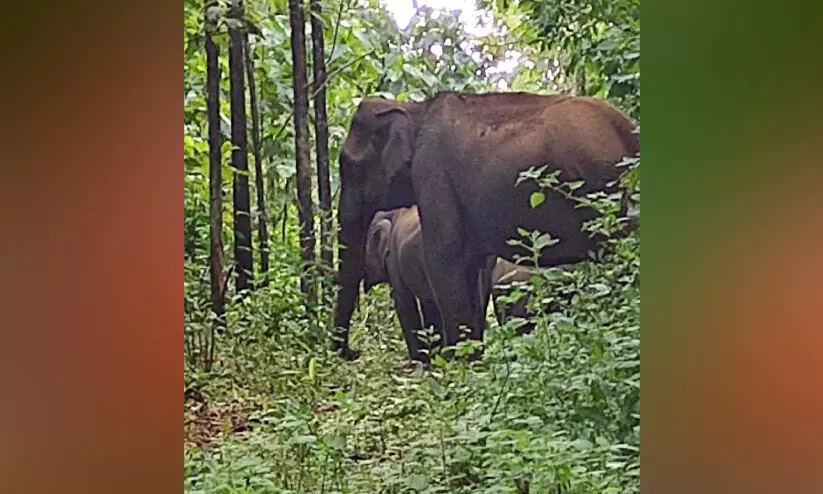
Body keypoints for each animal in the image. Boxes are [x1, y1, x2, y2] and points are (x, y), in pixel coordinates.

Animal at [332, 90, 640, 358]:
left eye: (348, 166)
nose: (352, 352)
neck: (416, 110)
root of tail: (630, 133)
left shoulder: (432, 173)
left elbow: (443, 259)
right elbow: (468, 268)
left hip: (602, 192)